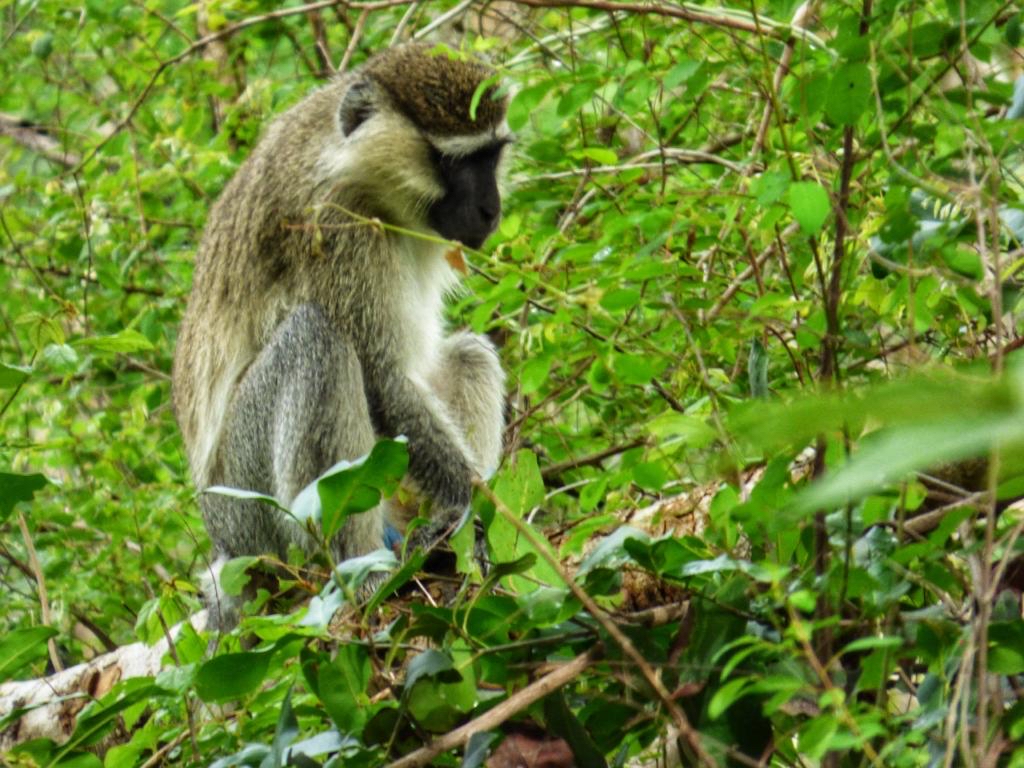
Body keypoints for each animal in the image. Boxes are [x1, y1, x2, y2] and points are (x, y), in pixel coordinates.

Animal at [171, 43, 510, 629]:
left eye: (490, 157)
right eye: (453, 163)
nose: (491, 209)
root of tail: (224, 547)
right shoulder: (335, 227)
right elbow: (383, 382)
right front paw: (475, 513)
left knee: (470, 354)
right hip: (248, 511)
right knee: (318, 342)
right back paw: (363, 577)